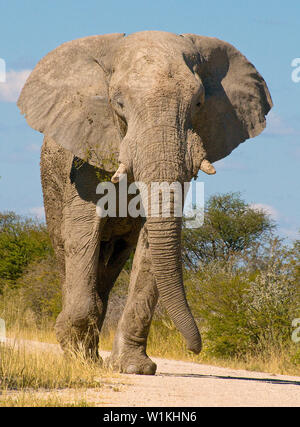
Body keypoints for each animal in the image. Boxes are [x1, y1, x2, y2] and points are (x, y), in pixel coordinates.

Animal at [17, 31, 274, 376]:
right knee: (68, 253)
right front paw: (77, 357)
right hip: (51, 186)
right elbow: (83, 235)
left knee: (111, 264)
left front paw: (134, 368)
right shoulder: (84, 159)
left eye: (199, 103)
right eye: (118, 103)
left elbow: (151, 246)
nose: (195, 348)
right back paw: (83, 355)